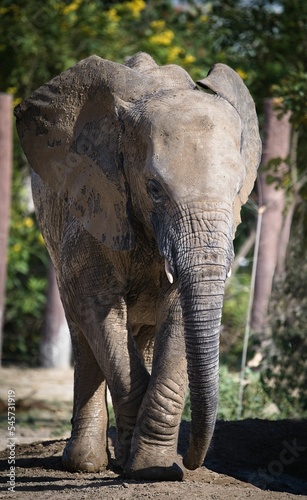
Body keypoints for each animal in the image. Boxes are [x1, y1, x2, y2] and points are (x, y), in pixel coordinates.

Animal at [13, 51, 260, 480]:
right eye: (154, 189)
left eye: (237, 192)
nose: (192, 463)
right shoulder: (94, 198)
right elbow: (98, 306)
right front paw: (148, 468)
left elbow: (177, 311)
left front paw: (153, 468)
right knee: (82, 328)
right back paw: (87, 464)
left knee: (140, 334)